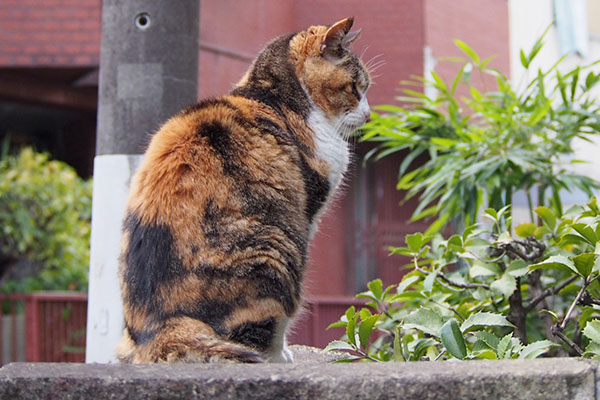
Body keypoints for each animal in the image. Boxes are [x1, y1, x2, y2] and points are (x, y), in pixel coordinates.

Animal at [116, 18, 370, 362]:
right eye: (355, 88)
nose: (369, 114)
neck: (272, 95)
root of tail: (159, 326)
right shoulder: (307, 214)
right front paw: (284, 354)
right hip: (277, 250)